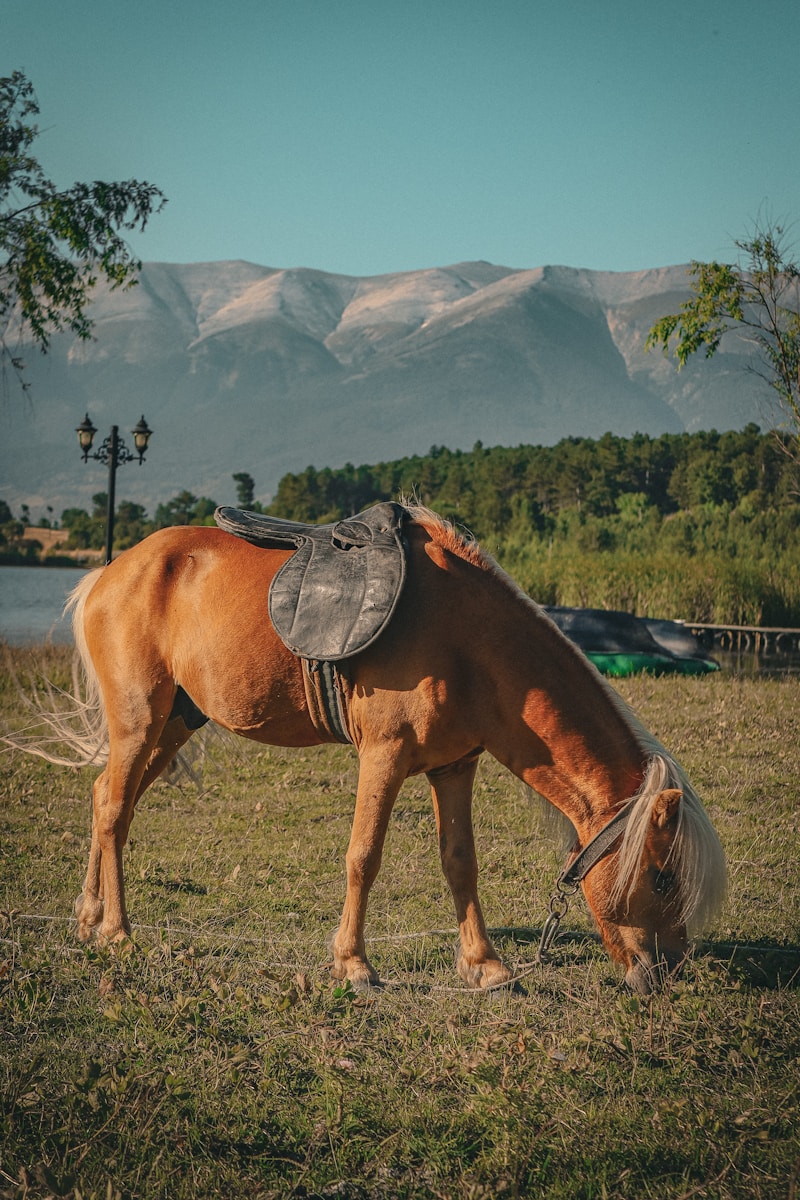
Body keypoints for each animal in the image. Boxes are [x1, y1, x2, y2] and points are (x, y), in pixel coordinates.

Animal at [12, 505, 726, 994]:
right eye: (663, 877)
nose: (667, 973)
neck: (467, 637)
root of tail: (111, 570)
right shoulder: (383, 755)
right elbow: (364, 857)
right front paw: (353, 962)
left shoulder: (454, 767)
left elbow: (460, 863)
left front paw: (485, 966)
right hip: (140, 719)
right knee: (113, 809)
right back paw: (115, 931)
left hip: (171, 726)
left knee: (108, 800)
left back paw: (88, 916)